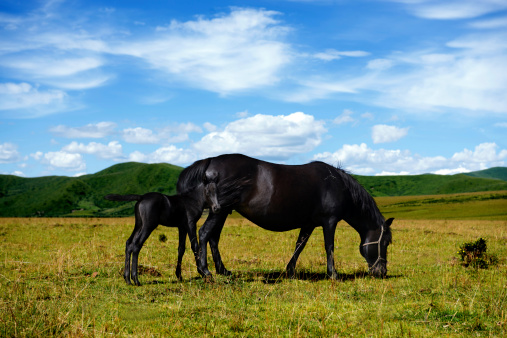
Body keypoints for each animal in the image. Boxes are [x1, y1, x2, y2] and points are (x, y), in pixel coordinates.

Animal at [179, 154, 396, 280]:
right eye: (385, 242)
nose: (382, 272)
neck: (338, 185)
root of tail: (211, 161)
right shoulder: (330, 221)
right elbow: (330, 247)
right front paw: (333, 274)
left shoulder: (309, 224)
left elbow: (300, 245)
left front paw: (290, 271)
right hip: (220, 211)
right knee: (204, 233)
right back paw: (205, 271)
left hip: (223, 212)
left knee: (213, 238)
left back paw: (223, 270)